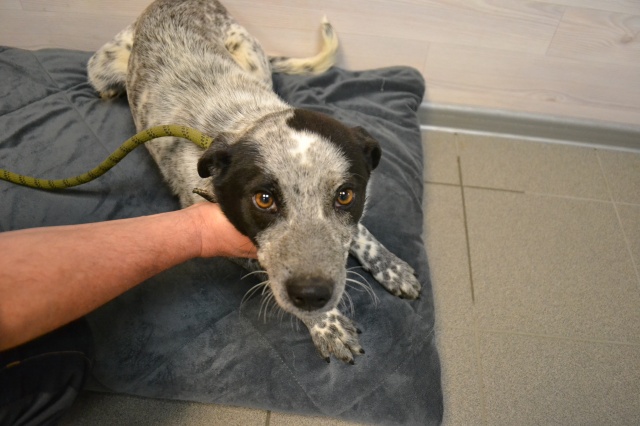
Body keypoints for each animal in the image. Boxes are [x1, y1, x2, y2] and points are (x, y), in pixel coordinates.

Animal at [87, 0, 421, 364]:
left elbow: (360, 232)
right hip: (101, 68)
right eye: (264, 199)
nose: (313, 294)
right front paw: (326, 325)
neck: (242, 120)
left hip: (250, 56)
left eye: (345, 195)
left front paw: (391, 267)